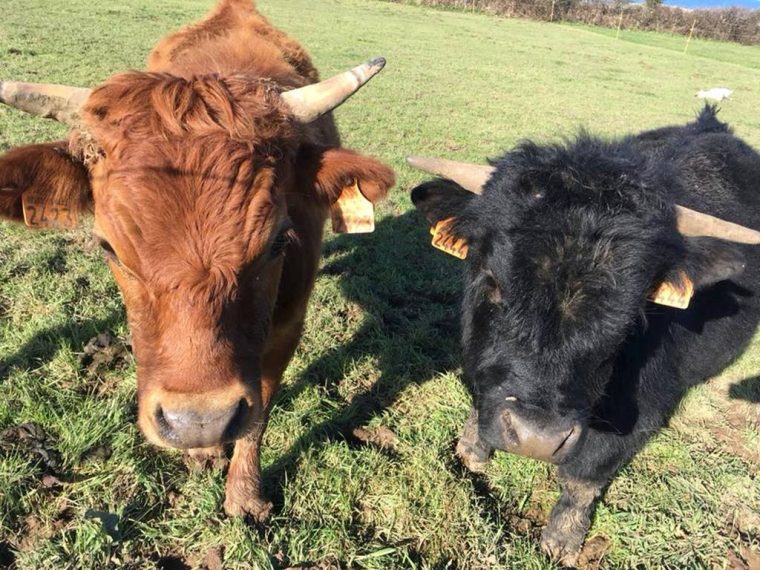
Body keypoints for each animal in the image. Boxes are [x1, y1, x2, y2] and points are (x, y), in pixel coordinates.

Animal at [1, 0, 398, 520]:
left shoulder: (285, 328)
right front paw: (204, 450)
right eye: (109, 247)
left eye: (278, 242)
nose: (197, 421)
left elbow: (259, 412)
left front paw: (244, 493)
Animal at [410, 107, 760, 564]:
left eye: (634, 309)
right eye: (491, 278)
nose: (537, 438)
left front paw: (562, 541)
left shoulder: (643, 410)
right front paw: (471, 451)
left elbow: (583, 478)